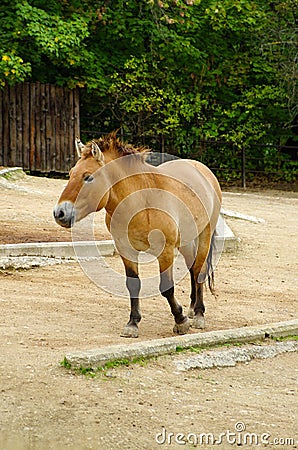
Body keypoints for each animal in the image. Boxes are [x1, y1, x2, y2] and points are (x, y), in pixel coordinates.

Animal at [53, 132, 221, 340]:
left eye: (88, 177)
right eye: (70, 174)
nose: (59, 213)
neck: (141, 202)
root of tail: (203, 171)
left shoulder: (165, 252)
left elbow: (166, 287)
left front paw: (180, 321)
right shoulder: (126, 250)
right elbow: (133, 285)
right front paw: (133, 323)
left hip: (204, 236)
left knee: (199, 271)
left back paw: (198, 314)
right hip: (187, 241)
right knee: (192, 268)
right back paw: (192, 309)